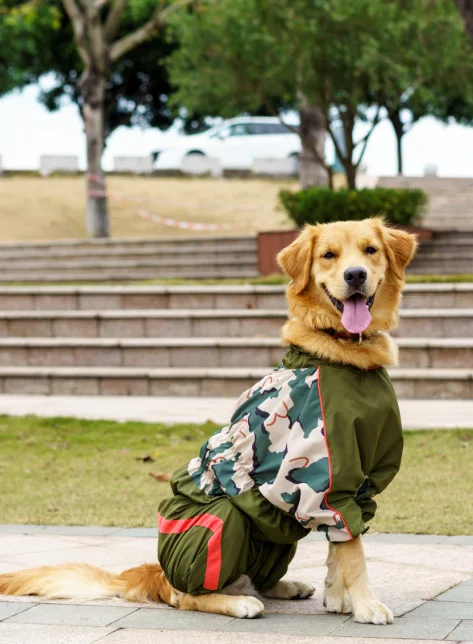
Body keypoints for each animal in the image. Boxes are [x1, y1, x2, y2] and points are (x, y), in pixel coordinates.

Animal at [0, 216, 412, 624]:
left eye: (370, 250)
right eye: (329, 255)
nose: (355, 275)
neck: (344, 355)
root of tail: (157, 572)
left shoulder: (357, 486)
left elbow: (339, 549)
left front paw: (337, 598)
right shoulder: (327, 482)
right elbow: (353, 551)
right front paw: (367, 606)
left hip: (277, 531)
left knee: (254, 578)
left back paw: (284, 586)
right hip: (222, 518)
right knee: (187, 596)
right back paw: (237, 603)